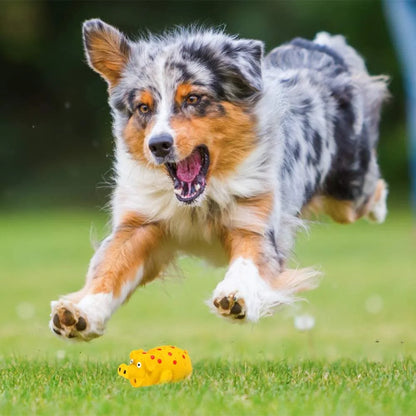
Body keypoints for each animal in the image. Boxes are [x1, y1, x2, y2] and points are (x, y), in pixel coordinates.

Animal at [50, 18, 388, 342]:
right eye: (143, 107)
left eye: (193, 98)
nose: (158, 145)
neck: (200, 201)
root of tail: (321, 48)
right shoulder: (139, 224)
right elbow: (109, 267)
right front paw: (80, 312)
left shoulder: (254, 221)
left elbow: (248, 262)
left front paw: (236, 295)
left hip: (349, 191)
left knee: (372, 189)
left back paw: (380, 208)